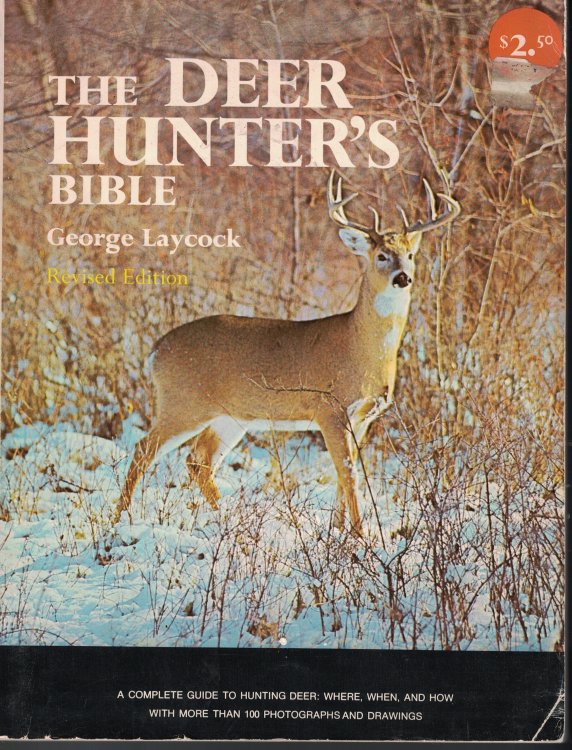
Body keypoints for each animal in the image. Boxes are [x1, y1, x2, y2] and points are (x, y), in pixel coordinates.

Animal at [114, 172, 460, 535]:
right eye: (381, 255)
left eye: (411, 255)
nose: (403, 277)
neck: (360, 349)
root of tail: (155, 352)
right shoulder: (328, 408)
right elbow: (348, 471)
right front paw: (361, 534)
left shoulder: (365, 416)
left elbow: (345, 472)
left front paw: (339, 531)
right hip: (183, 403)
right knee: (144, 449)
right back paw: (121, 519)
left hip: (230, 417)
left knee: (198, 460)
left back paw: (225, 520)